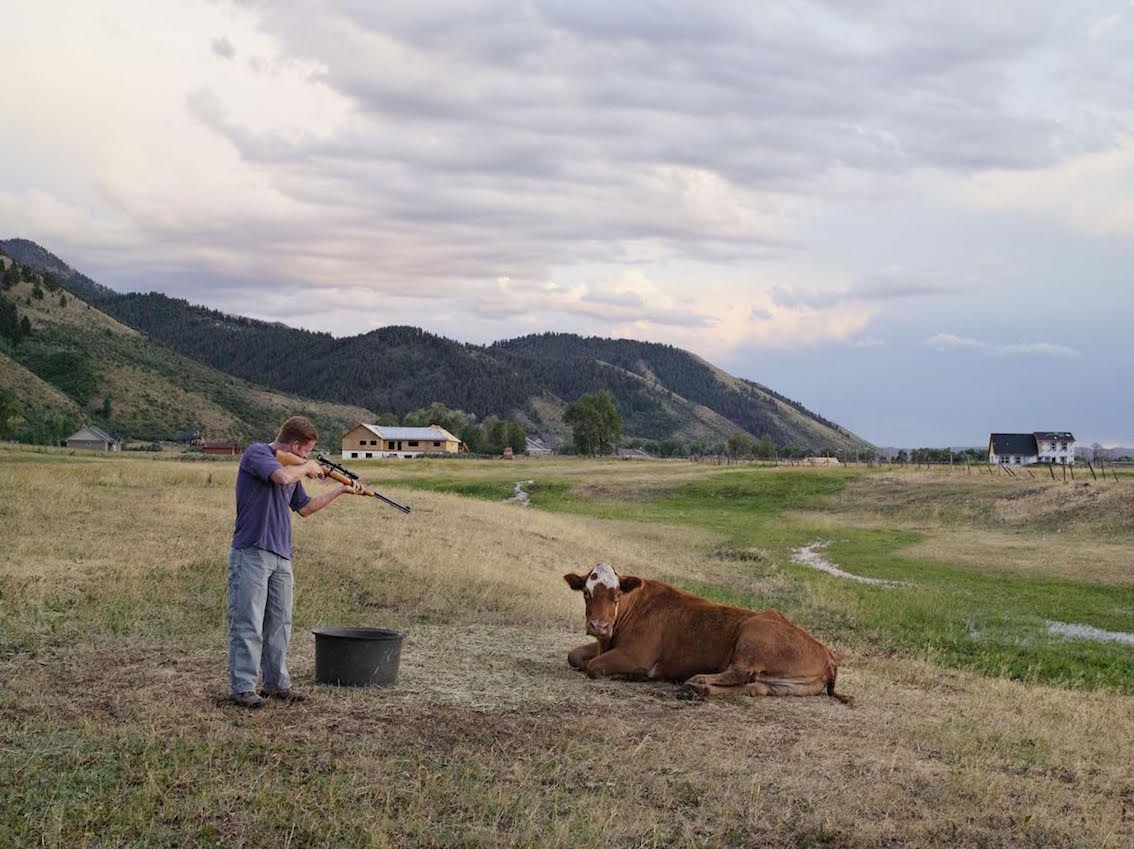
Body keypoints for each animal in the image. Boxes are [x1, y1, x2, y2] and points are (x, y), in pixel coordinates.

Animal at [562, 562, 852, 702]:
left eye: (616, 594)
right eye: (586, 592)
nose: (598, 625)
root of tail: (827, 653)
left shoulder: (636, 655)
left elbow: (593, 666)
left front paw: (629, 675)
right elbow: (574, 655)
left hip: (753, 632)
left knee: (740, 672)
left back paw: (697, 681)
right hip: (783, 685)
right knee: (753, 686)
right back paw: (699, 689)